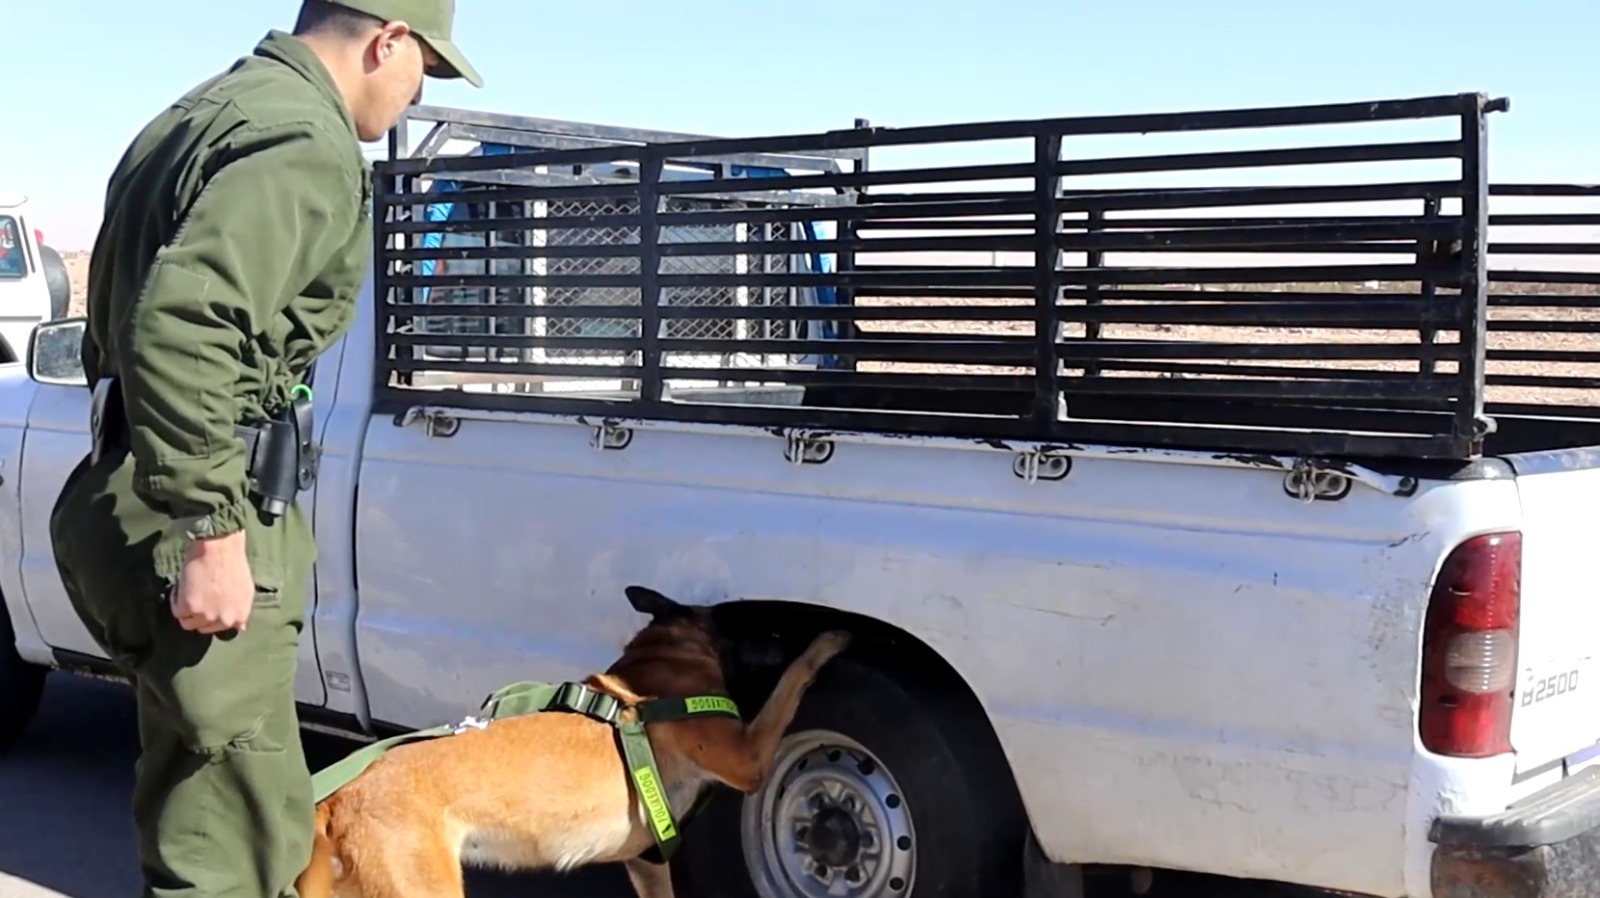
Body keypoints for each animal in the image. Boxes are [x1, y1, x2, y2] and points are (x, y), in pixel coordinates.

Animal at [295, 585, 852, 898]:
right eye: (764, 629)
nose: (795, 629)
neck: (663, 656)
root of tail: (334, 801)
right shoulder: (748, 760)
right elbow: (789, 685)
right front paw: (826, 643)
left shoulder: (646, 861)